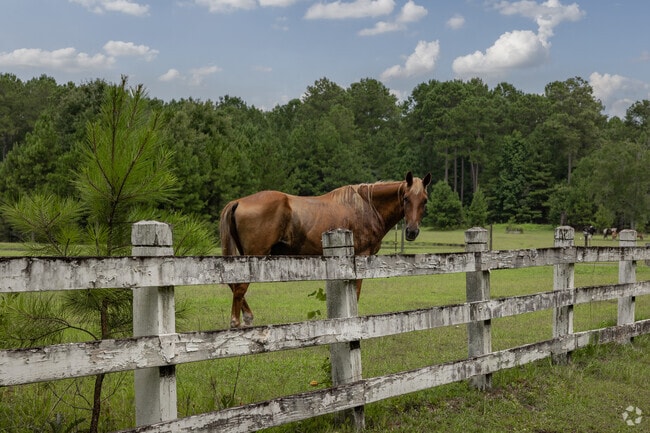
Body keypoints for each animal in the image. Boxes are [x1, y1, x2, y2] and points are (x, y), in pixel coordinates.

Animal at [219, 171, 432, 328]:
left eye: (424, 200)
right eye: (405, 198)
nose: (412, 231)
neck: (367, 207)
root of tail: (239, 201)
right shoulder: (359, 259)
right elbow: (355, 294)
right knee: (239, 288)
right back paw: (237, 322)